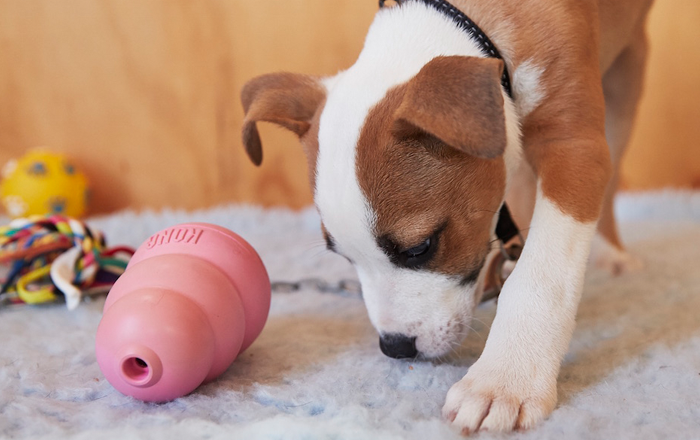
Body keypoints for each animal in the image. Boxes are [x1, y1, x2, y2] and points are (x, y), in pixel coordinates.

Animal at [242, 0, 656, 434]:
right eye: (343, 256)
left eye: (420, 248)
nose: (395, 346)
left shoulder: (574, 149)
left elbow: (542, 276)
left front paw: (506, 379)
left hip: (627, 72)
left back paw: (607, 252)